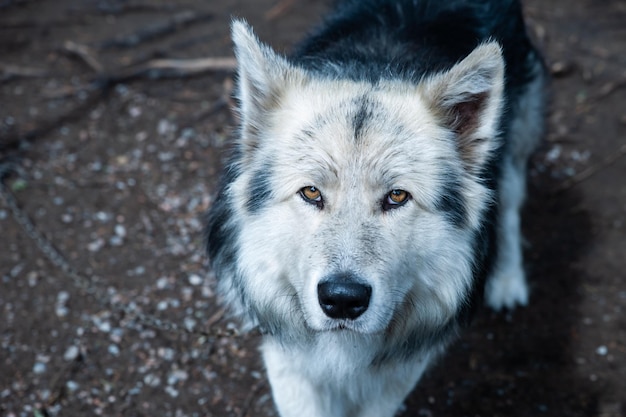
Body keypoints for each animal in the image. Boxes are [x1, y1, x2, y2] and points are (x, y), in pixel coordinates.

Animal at [207, 0, 544, 412]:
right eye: (311, 193)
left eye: (397, 197)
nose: (342, 299)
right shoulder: (288, 356)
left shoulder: (401, 368)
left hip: (512, 148)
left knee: (509, 207)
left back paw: (507, 281)